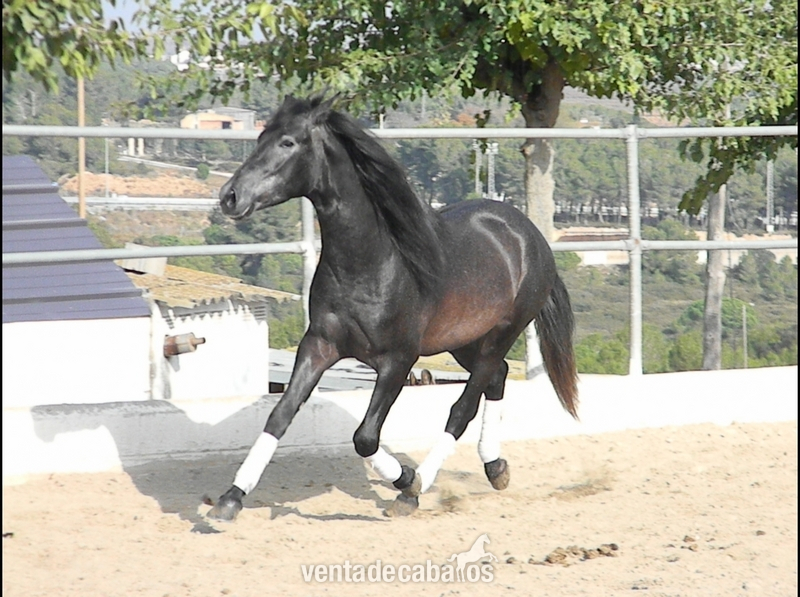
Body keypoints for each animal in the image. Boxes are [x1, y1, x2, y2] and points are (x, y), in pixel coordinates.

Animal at [208, 94, 578, 521]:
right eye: (260, 137)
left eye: (288, 142)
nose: (230, 197)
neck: (373, 264)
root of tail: (529, 234)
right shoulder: (318, 345)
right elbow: (280, 415)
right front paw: (230, 498)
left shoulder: (398, 361)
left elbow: (365, 437)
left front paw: (407, 482)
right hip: (464, 341)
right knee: (498, 378)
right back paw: (495, 467)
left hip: (501, 333)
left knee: (463, 407)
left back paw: (420, 488)